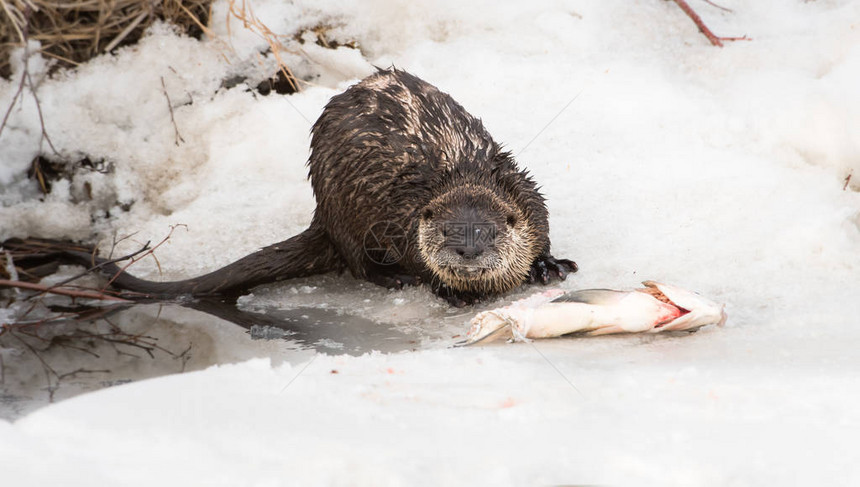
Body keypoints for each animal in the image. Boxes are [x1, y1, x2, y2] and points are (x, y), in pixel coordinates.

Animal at [85, 68, 576, 304]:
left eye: (487, 233)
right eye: (445, 232)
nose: (467, 252)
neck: (462, 173)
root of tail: (322, 215)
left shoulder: (526, 194)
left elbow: (543, 230)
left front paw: (548, 264)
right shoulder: (402, 218)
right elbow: (415, 260)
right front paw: (447, 290)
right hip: (345, 210)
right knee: (357, 262)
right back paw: (391, 277)